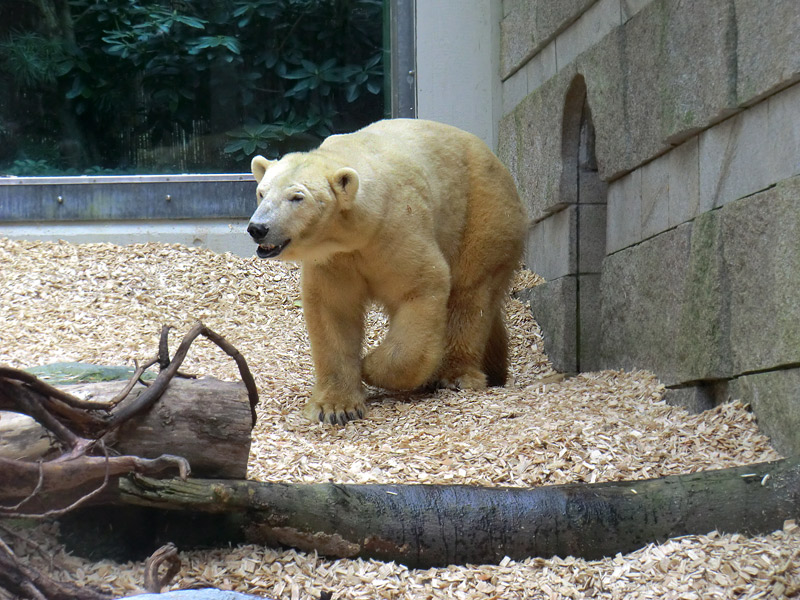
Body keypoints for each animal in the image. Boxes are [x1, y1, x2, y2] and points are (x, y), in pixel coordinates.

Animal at [247, 119, 528, 424]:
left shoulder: (398, 229)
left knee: (471, 293)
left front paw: (369, 366)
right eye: (262, 192)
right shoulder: (335, 260)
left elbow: (421, 289)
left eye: (297, 197)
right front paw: (335, 407)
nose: (258, 228)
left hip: (481, 212)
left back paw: (455, 375)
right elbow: (333, 310)